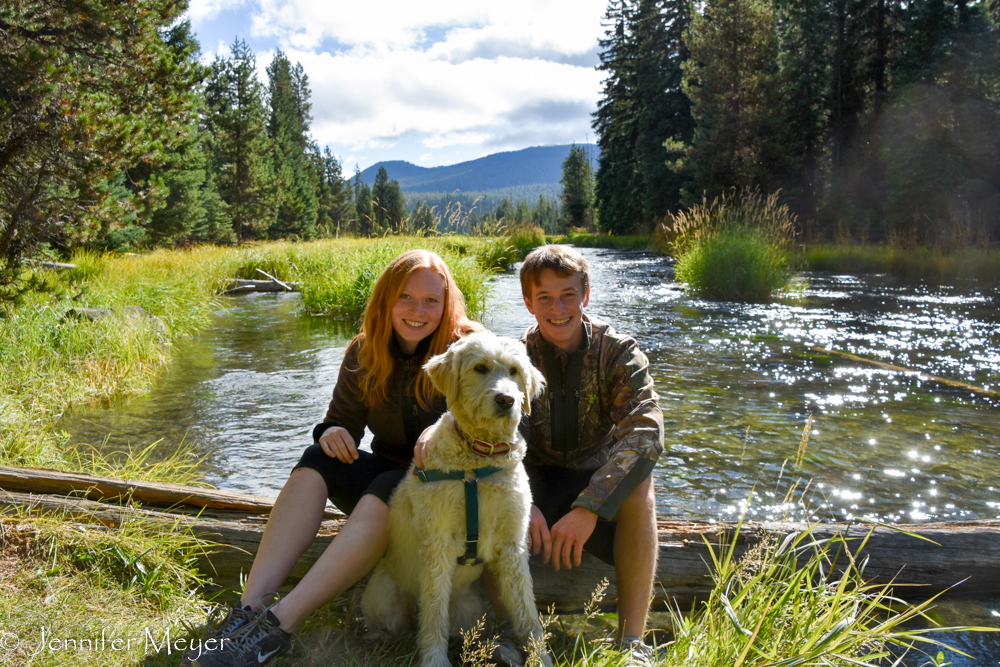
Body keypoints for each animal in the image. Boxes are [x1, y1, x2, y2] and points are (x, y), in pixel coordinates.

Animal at [360, 332, 548, 667]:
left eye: (514, 371)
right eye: (480, 368)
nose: (506, 400)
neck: (478, 460)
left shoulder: (513, 545)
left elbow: (528, 614)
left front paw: (540, 658)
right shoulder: (438, 542)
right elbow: (435, 610)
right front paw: (434, 659)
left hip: (471, 607)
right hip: (382, 597)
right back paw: (377, 637)